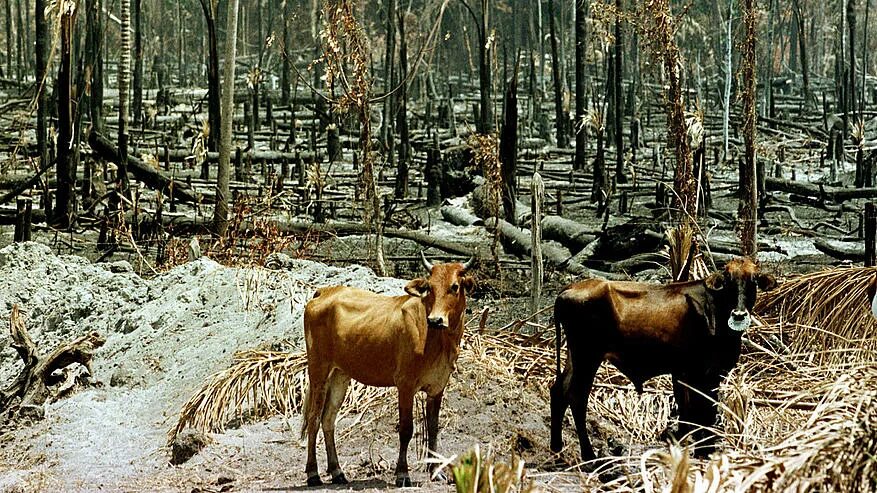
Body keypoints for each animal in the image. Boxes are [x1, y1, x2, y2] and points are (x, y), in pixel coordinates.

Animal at [300, 254, 472, 484]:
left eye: (454, 286)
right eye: (430, 287)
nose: (435, 320)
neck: (439, 341)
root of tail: (324, 292)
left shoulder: (437, 387)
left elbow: (433, 428)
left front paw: (436, 471)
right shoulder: (405, 385)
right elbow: (406, 429)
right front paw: (402, 474)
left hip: (340, 375)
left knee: (328, 418)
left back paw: (337, 472)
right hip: (318, 370)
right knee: (314, 418)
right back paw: (313, 474)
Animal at [552, 258, 776, 462]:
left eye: (754, 280)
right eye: (728, 280)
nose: (738, 315)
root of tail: (567, 290)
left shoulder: (685, 372)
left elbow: (688, 411)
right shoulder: (702, 373)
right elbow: (703, 410)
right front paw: (704, 450)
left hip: (574, 355)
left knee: (558, 391)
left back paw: (557, 449)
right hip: (587, 356)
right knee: (576, 397)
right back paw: (588, 455)